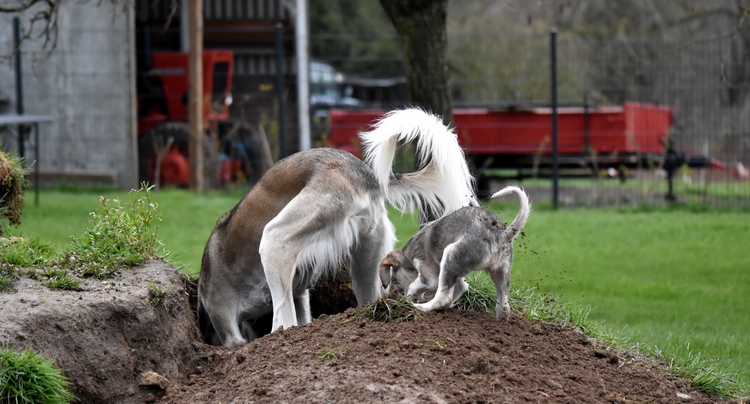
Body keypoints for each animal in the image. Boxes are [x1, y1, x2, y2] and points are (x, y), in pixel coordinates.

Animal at [198, 108, 476, 348]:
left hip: (275, 240)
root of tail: (363, 173)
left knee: (283, 322)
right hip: (367, 262)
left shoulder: (225, 320)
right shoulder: (300, 296)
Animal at [378, 185, 532, 318]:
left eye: (397, 279)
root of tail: (501, 234)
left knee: (442, 299)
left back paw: (419, 307)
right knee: (504, 307)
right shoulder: (458, 280)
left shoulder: (430, 278)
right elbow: (461, 288)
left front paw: (406, 300)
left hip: (450, 255)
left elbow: (414, 286)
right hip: (501, 273)